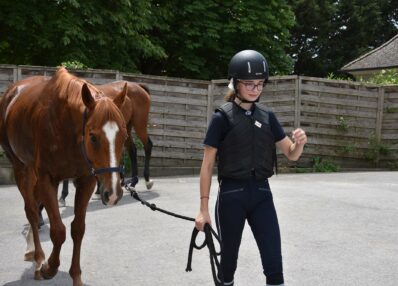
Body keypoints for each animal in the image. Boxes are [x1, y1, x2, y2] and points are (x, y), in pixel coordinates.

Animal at [0, 67, 126, 286]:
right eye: (93, 137)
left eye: (124, 136)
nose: (112, 194)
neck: (63, 127)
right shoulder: (47, 179)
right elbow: (58, 231)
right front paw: (50, 267)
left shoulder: (86, 181)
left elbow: (78, 229)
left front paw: (76, 275)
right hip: (21, 167)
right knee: (31, 210)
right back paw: (38, 258)